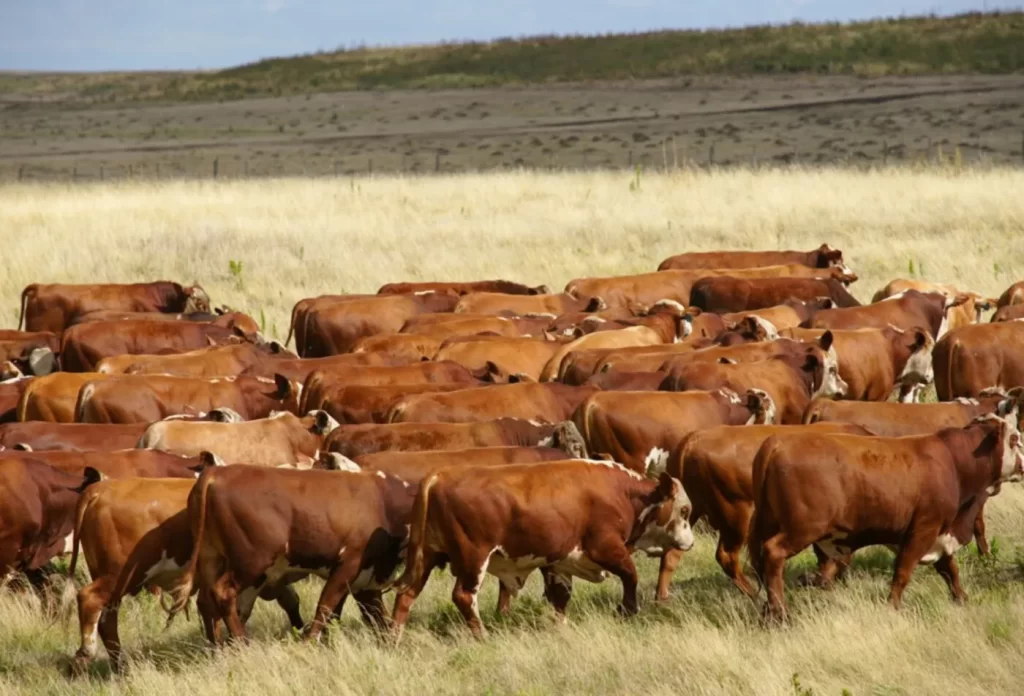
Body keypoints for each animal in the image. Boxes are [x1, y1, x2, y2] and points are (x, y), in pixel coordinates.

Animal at [391, 461, 695, 639]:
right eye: (684, 510)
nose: (690, 543)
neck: (622, 492)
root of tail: (439, 476)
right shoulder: (606, 548)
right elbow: (631, 576)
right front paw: (627, 611)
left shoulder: (559, 561)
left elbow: (560, 595)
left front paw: (561, 627)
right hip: (473, 559)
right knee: (464, 596)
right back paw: (482, 635)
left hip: (426, 556)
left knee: (406, 595)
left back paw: (395, 638)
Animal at [748, 412, 1024, 621]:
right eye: (1014, 438)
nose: (1023, 466)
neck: (954, 463)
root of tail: (778, 442)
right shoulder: (924, 529)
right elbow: (903, 571)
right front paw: (893, 605)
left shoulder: (940, 534)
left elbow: (950, 570)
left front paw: (961, 597)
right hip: (802, 529)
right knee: (773, 553)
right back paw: (780, 612)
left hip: (771, 522)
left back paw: (771, 608)